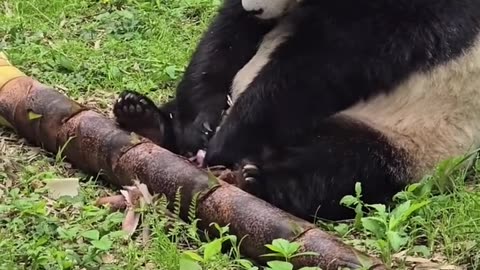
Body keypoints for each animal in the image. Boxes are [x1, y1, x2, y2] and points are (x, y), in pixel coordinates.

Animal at [112, 0, 480, 220]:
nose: (254, 7)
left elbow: (331, 58)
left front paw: (228, 138)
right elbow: (228, 33)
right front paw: (199, 125)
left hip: (420, 138)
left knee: (345, 167)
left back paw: (257, 180)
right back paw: (145, 118)